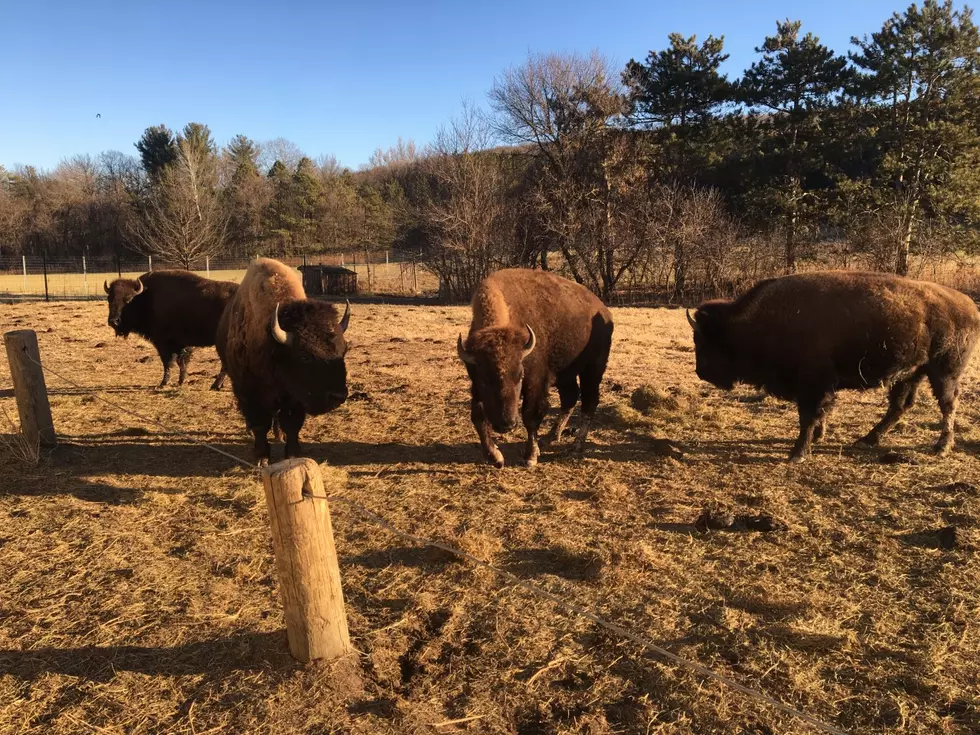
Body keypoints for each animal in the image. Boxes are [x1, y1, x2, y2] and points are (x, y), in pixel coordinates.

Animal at [105, 270, 237, 392]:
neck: (146, 297)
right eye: (109, 299)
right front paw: (181, 381)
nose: (113, 321)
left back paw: (215, 385)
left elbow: (168, 362)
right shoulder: (181, 344)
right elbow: (181, 362)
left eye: (128, 299)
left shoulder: (164, 343)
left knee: (225, 364)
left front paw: (164, 383)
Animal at [218, 258, 352, 466]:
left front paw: (293, 454)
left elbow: (292, 425)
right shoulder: (249, 392)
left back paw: (278, 435)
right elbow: (259, 424)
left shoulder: (294, 398)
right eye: (304, 356)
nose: (339, 396)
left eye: (343, 351)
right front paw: (262, 458)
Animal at [458, 268, 612, 466]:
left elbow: (530, 416)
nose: (506, 424)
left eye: (520, 376)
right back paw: (550, 438)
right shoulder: (475, 383)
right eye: (484, 380)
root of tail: (604, 310)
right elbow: (477, 416)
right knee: (570, 398)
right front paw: (495, 456)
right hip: (566, 374)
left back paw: (575, 446)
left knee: (589, 402)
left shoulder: (536, 381)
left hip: (592, 369)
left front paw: (531, 456)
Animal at [688, 274, 980, 462]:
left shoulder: (813, 385)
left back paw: (941, 447)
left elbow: (808, 416)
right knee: (900, 405)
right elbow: (821, 412)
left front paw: (797, 454)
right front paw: (819, 436)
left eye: (705, 340)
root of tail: (968, 305)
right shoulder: (820, 386)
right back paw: (867, 439)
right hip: (910, 373)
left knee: (947, 404)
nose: (701, 371)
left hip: (944, 371)